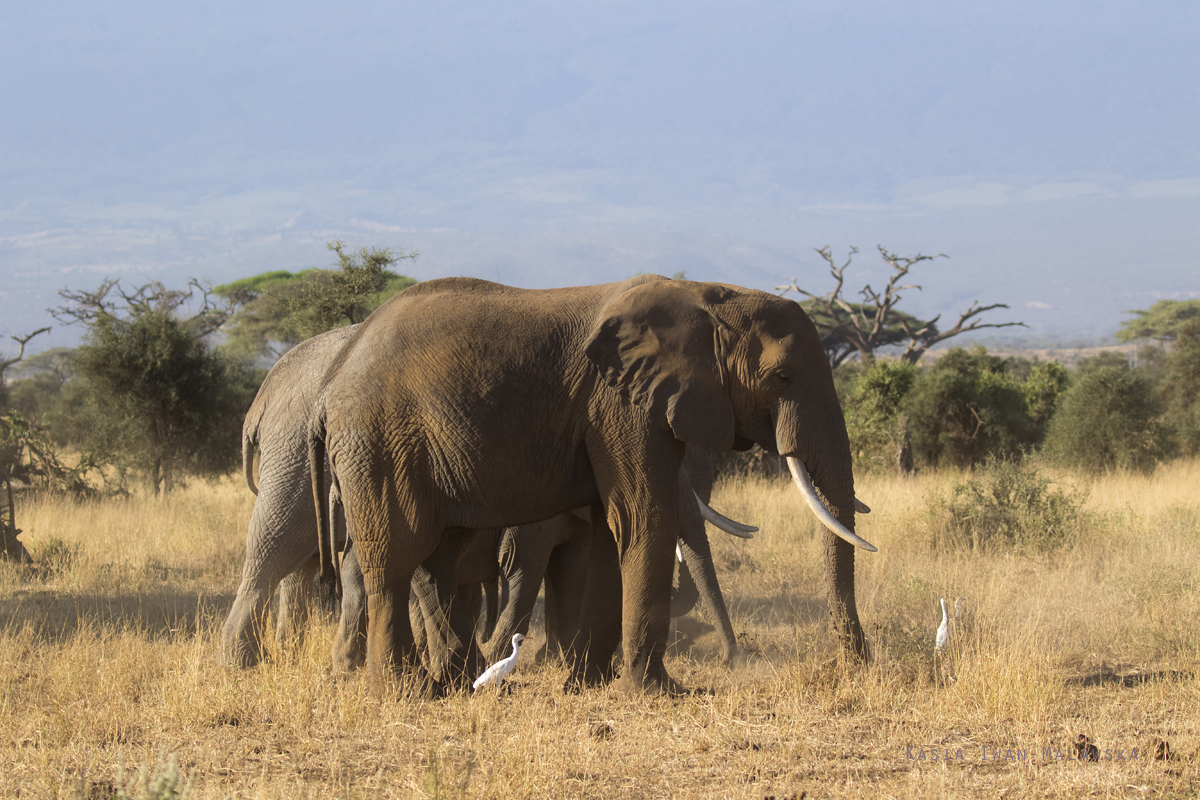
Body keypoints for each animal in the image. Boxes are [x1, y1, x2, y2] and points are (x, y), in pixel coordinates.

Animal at [309, 273, 873, 695]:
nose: (858, 662)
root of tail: (330, 382)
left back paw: (456, 685)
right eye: (782, 378)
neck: (703, 294)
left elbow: (611, 530)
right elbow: (643, 517)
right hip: (378, 442)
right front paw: (657, 693)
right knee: (395, 557)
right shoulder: (618, 405)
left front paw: (589, 686)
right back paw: (407, 693)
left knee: (437, 559)